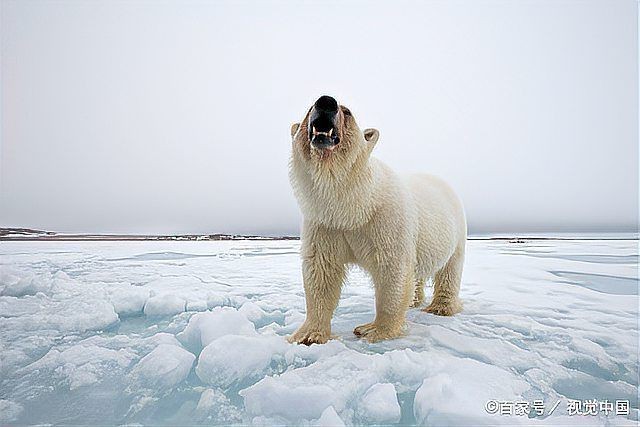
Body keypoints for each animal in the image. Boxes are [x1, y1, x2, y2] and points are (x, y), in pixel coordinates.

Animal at [288, 95, 467, 344]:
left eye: (347, 111)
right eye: (309, 108)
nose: (326, 102)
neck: (356, 205)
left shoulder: (386, 221)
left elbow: (392, 270)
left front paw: (373, 330)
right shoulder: (325, 224)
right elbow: (321, 271)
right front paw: (308, 335)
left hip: (456, 232)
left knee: (450, 269)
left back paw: (440, 307)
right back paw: (415, 300)